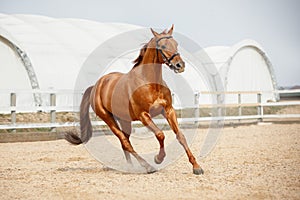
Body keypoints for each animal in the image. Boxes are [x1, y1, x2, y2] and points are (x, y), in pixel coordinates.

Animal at [65, 25, 204, 175]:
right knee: (125, 142)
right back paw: (148, 166)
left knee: (125, 142)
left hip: (124, 120)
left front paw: (196, 166)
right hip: (108, 118)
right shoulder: (144, 115)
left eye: (176, 44)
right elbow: (160, 134)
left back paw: (130, 167)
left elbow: (180, 136)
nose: (180, 65)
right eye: (163, 46)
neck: (150, 83)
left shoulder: (168, 110)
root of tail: (96, 86)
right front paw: (158, 158)